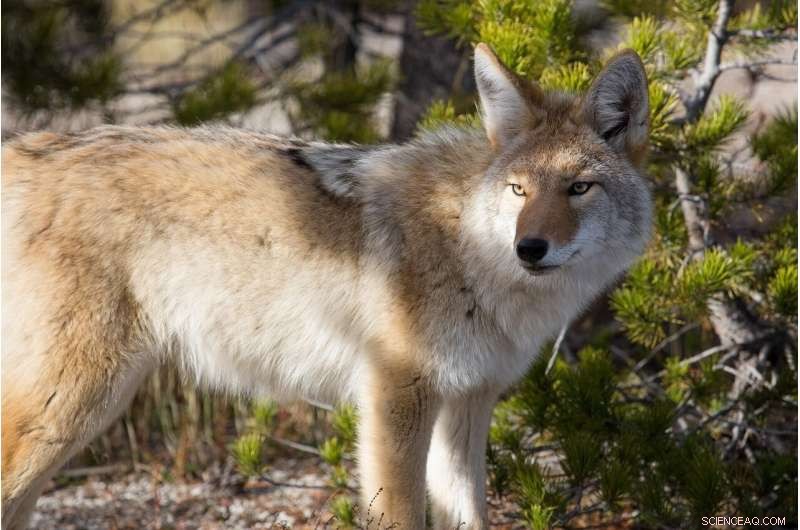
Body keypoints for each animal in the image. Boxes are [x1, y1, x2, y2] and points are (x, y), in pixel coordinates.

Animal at [1, 43, 652, 529]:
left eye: (578, 188)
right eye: (520, 189)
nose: (530, 248)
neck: (467, 248)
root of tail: (29, 147)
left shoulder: (468, 403)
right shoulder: (394, 395)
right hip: (74, 403)